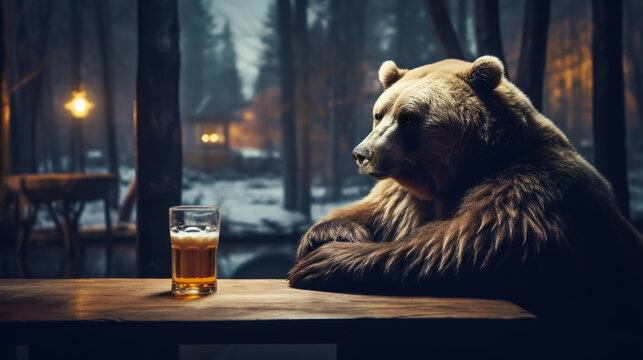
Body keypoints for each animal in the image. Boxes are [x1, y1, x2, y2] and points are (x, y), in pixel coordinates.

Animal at [290, 55, 643, 324]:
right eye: (378, 114)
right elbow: (369, 212)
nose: (363, 153)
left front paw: (324, 260)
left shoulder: (527, 186)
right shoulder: (406, 197)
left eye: (408, 117)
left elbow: (473, 243)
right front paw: (339, 233)